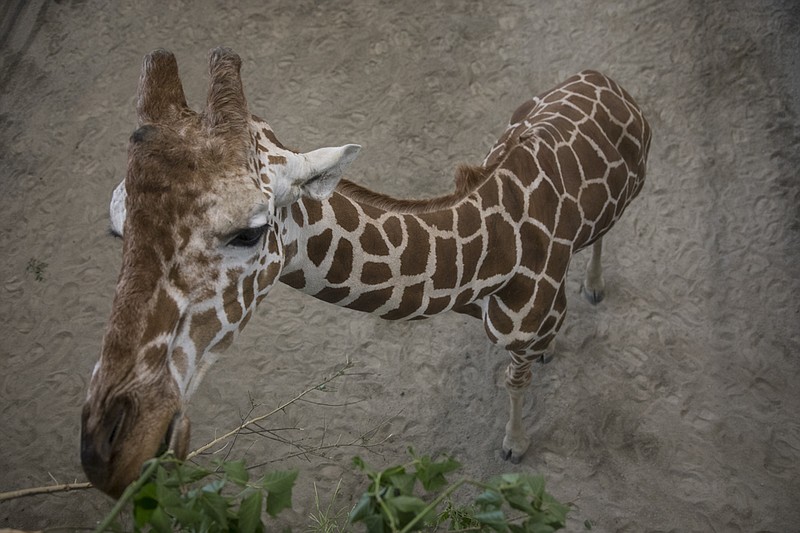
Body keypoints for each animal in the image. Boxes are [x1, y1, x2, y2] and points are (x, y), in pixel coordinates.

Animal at [79, 47, 648, 496]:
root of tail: (605, 79)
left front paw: (514, 445)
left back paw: (595, 288)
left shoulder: (525, 324)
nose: (109, 449)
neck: (487, 262)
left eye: (249, 232)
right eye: (118, 228)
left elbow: (516, 378)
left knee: (608, 234)